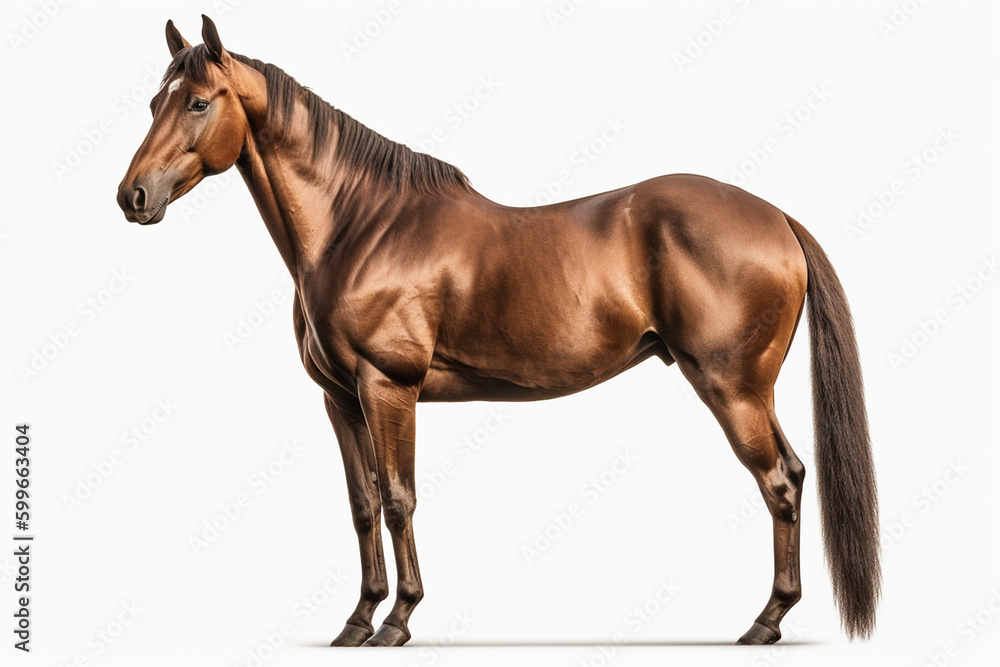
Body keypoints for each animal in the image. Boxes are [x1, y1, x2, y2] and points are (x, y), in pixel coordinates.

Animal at [117, 15, 880, 647]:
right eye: (155, 102)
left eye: (198, 101)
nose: (133, 196)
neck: (358, 227)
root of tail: (776, 217)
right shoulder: (340, 399)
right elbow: (362, 504)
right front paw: (357, 621)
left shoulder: (388, 387)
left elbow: (398, 499)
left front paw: (398, 620)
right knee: (792, 474)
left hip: (733, 386)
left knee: (778, 481)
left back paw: (764, 621)